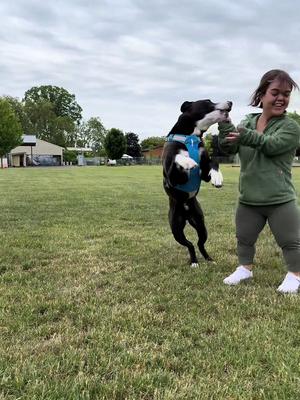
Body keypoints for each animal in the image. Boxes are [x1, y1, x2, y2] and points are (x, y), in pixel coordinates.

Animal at [164, 98, 232, 268]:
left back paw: (208, 259)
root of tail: (187, 212)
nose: (230, 102)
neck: (191, 137)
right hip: (176, 229)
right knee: (189, 244)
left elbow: (214, 161)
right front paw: (188, 161)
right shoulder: (171, 178)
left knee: (200, 243)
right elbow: (177, 157)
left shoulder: (204, 170)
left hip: (201, 225)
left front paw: (217, 177)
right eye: (208, 101)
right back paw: (194, 261)